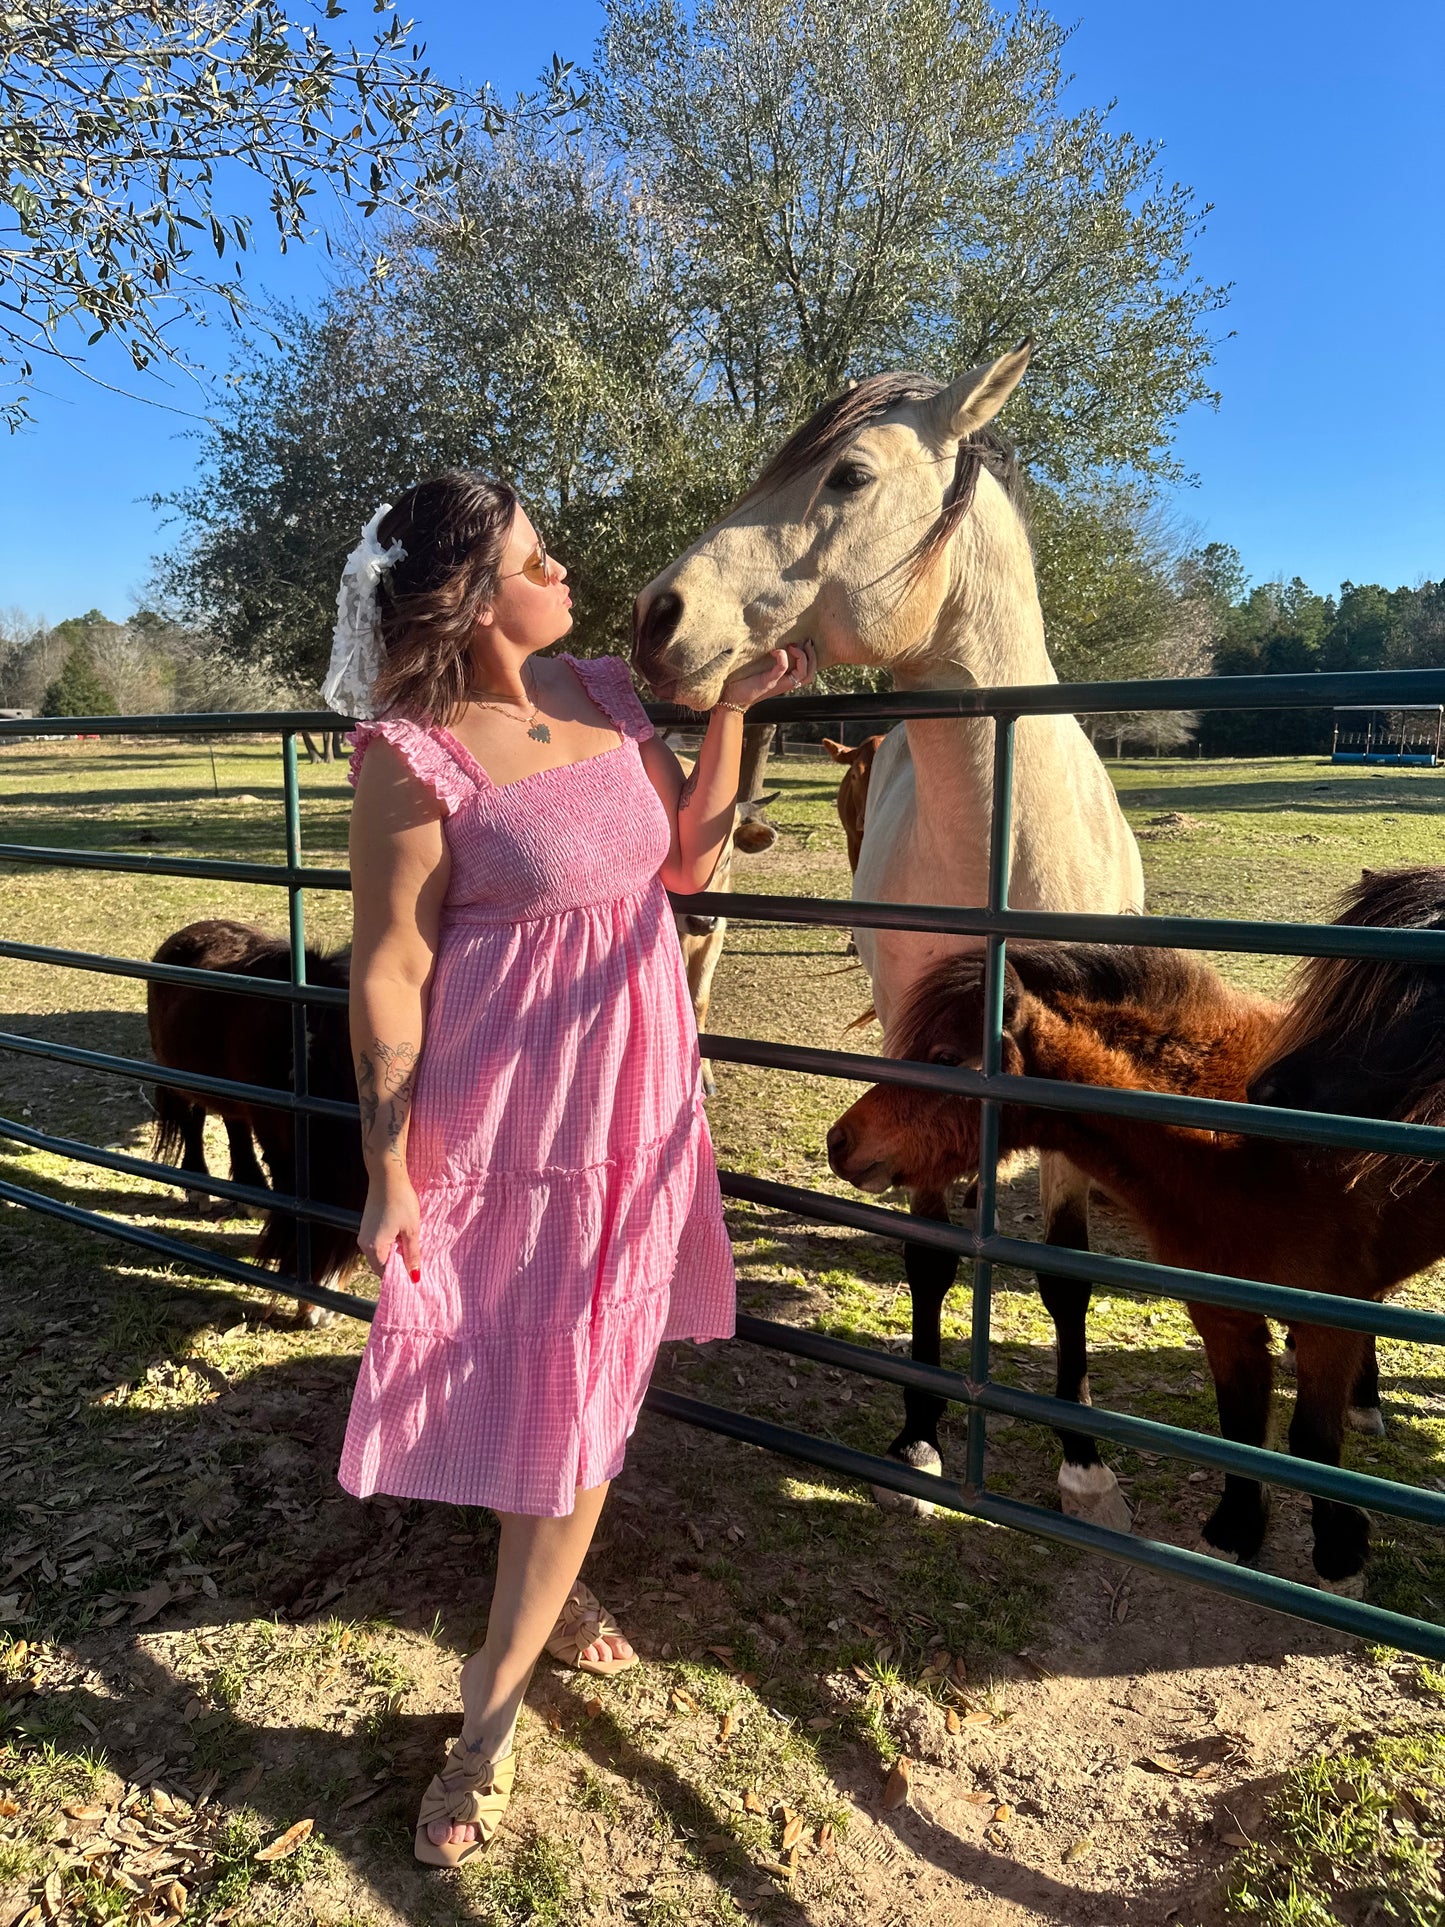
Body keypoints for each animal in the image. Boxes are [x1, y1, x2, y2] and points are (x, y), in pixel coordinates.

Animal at [639, 343, 1148, 1518]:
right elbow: (925, 1257)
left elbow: (1065, 1273)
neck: (1008, 849)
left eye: (850, 476)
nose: (657, 615)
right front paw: (917, 1441)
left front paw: (1085, 1463)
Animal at [824, 874, 1445, 1595]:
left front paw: (1338, 1557)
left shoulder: (1324, 1322)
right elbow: (1239, 1426)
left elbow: (1311, 1443)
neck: (1237, 1142)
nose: (840, 1141)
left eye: (945, 1057)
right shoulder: (1222, 1316)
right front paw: (1235, 1533)